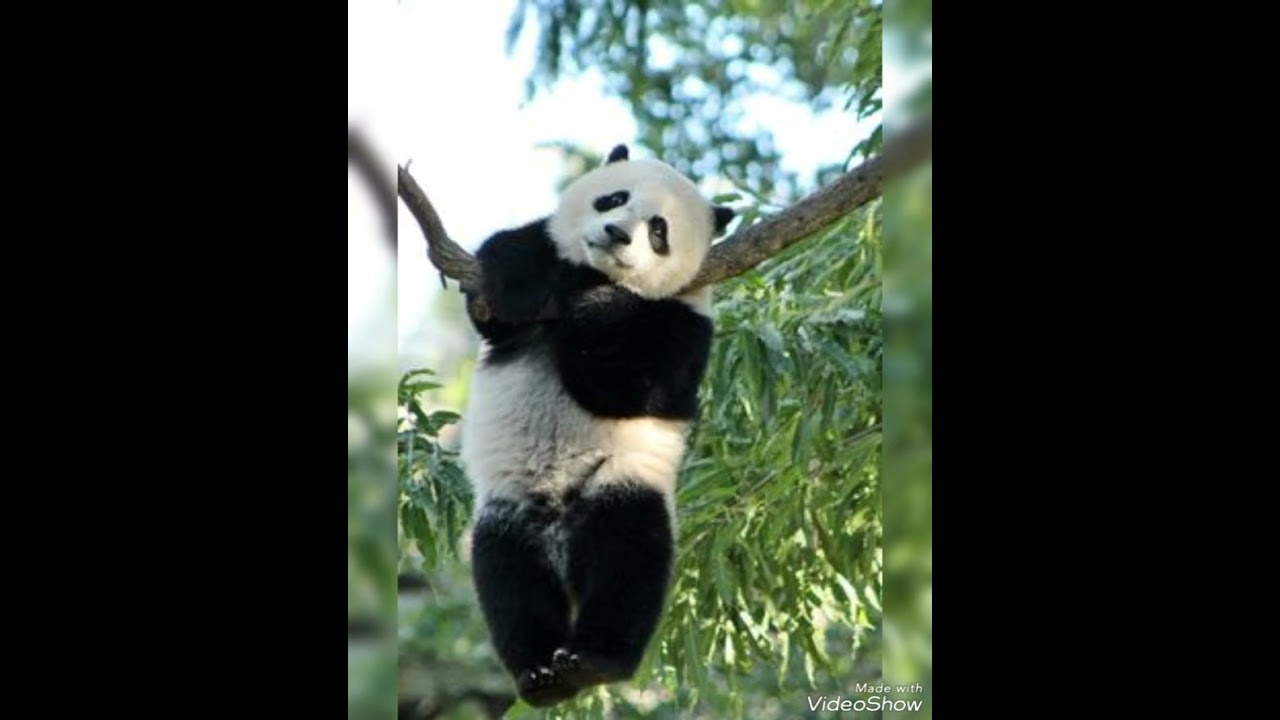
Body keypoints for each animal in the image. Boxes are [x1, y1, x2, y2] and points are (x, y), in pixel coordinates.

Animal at [458, 144, 735, 707]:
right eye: (613, 198)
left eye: (658, 230)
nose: (616, 234)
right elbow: (500, 288)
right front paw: (527, 277)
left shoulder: (684, 324)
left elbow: (629, 387)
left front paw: (598, 304)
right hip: (512, 512)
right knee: (508, 579)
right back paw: (540, 674)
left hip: (619, 485)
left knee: (628, 559)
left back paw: (595, 661)